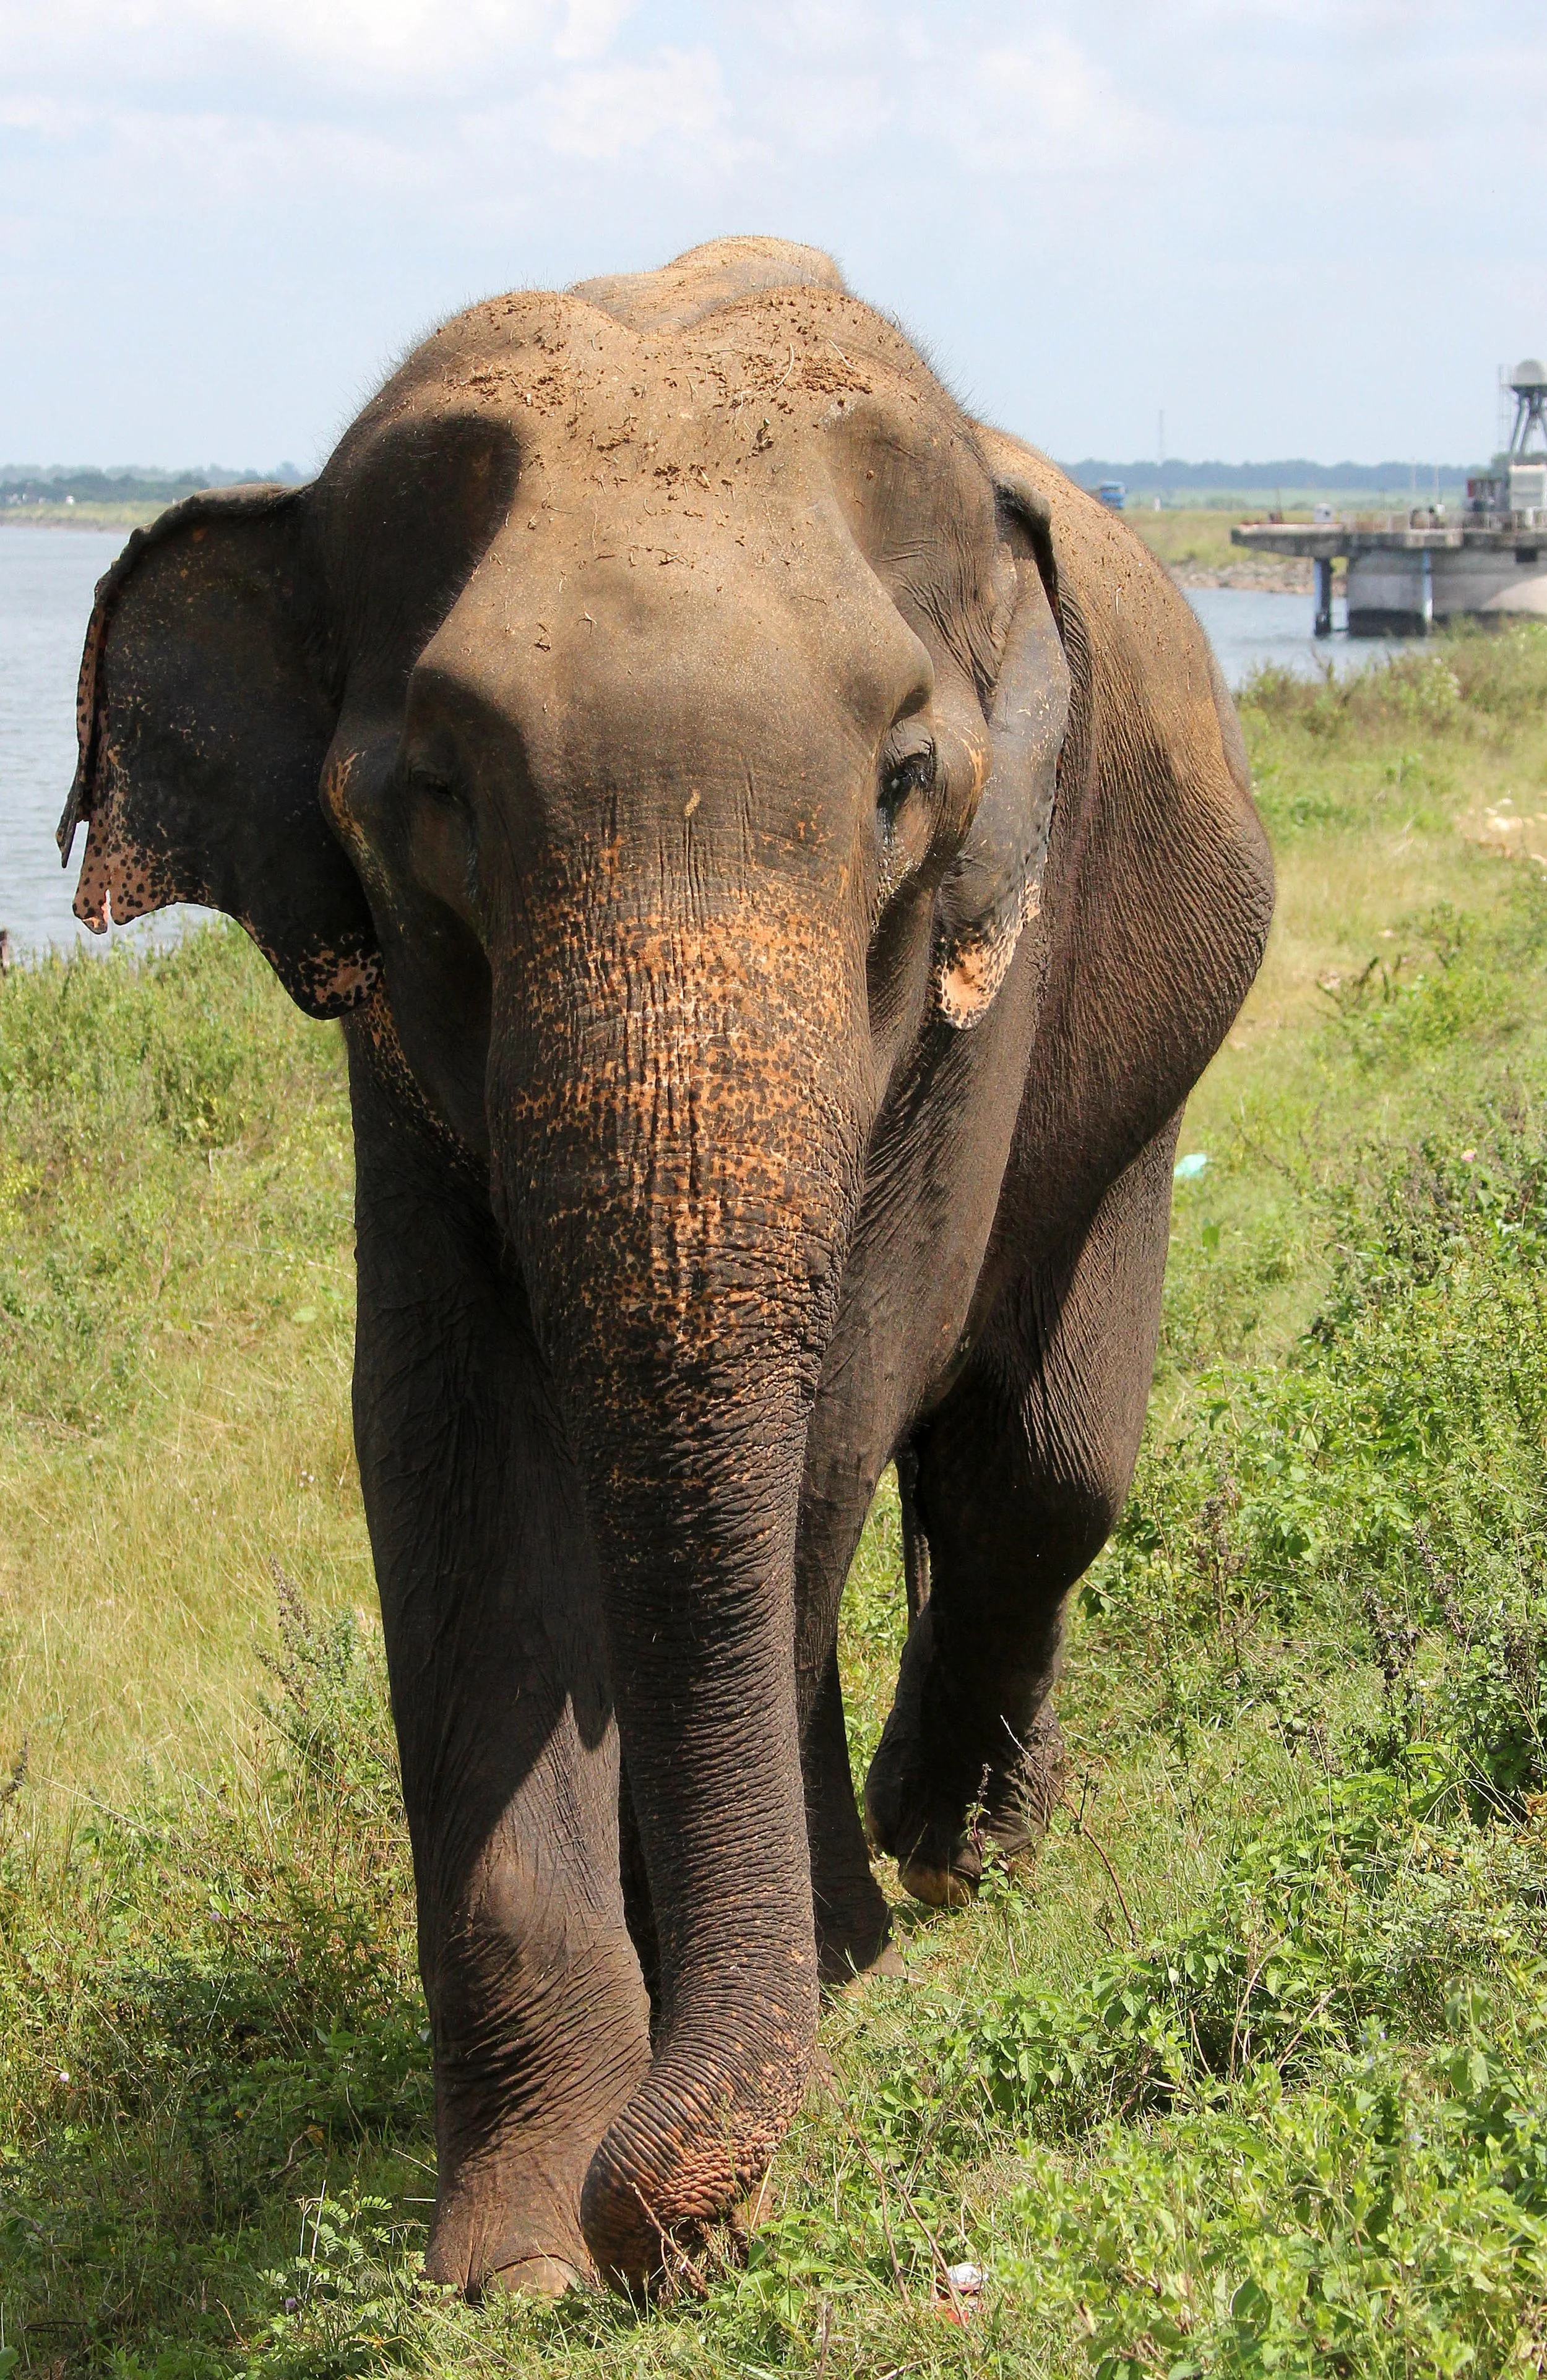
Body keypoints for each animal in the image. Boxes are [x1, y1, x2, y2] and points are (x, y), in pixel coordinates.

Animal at [57, 235, 1272, 2297]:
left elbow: (837, 1398)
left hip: (1134, 1059)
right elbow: (441, 1440)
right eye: (438, 792)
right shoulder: (394, 1043)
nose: (661, 2233)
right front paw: (517, 2251)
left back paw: (954, 1851)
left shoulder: (973, 967)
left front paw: (815, 1999)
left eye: (901, 778)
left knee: (1034, 1470)